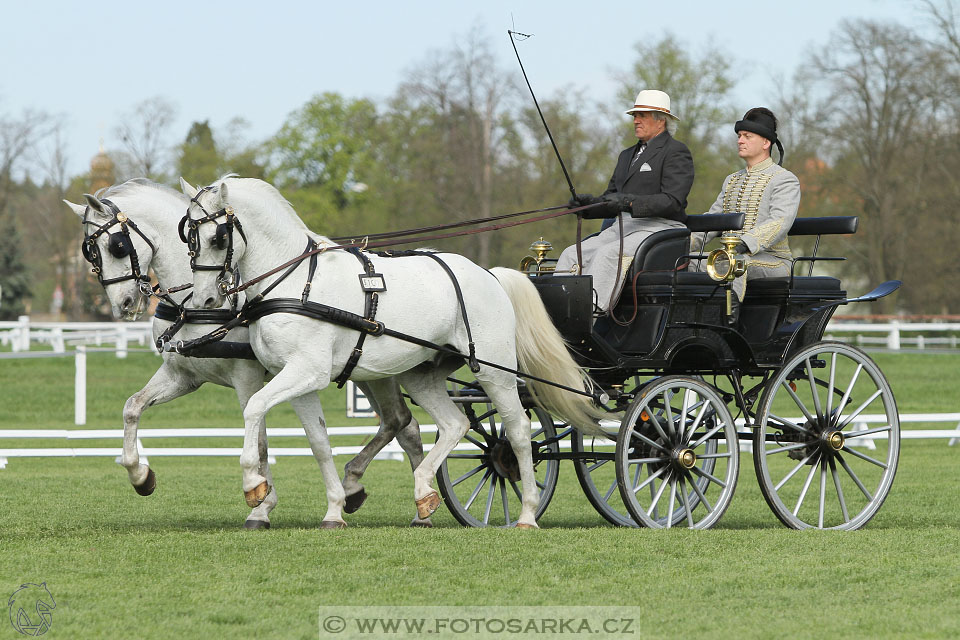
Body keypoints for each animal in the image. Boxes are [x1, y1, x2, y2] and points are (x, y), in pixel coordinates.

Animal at [64, 181, 432, 528]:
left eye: (117, 245)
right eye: (90, 253)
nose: (122, 305)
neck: (195, 303)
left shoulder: (247, 376)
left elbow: (261, 443)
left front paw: (261, 504)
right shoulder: (184, 375)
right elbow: (132, 407)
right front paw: (140, 475)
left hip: (379, 371)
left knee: (400, 422)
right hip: (365, 371)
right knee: (403, 425)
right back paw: (401, 502)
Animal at [181, 174, 604, 524]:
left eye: (218, 238)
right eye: (190, 239)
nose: (204, 300)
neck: (297, 282)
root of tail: (490, 273)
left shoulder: (307, 372)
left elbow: (254, 408)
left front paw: (253, 485)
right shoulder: (299, 379)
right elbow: (318, 441)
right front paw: (334, 508)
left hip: (494, 371)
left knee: (517, 431)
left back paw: (528, 511)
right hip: (422, 377)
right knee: (455, 424)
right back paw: (424, 493)